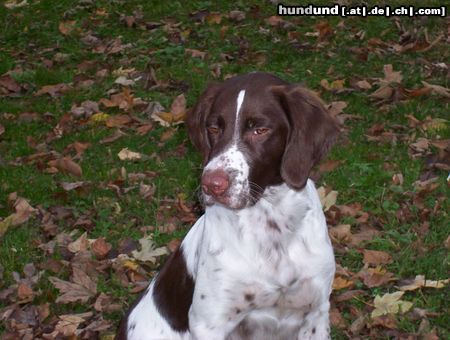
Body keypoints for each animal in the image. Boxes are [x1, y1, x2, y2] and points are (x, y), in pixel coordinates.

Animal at [118, 73, 340, 338]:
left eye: (260, 129)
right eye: (213, 128)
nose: (211, 184)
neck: (271, 227)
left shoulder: (316, 312)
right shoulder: (210, 322)